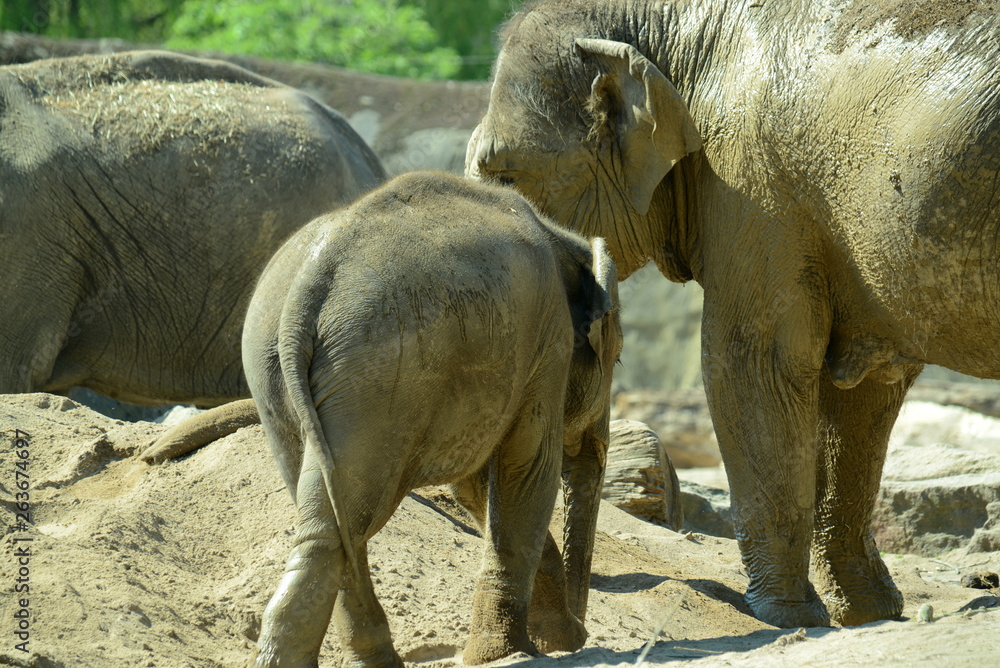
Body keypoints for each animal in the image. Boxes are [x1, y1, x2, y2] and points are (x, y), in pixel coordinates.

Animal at [242, 171, 622, 667]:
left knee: (333, 520)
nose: (581, 633)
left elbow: (479, 485)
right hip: (376, 378)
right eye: (618, 357)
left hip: (279, 377)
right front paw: (512, 651)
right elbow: (527, 469)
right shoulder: (548, 343)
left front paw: (540, 642)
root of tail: (306, 290)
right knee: (346, 520)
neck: (563, 236)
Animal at [465, 0, 1000, 628]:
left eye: (507, 175)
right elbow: (863, 393)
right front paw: (865, 615)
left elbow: (750, 362)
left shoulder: (753, 186)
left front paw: (788, 617)